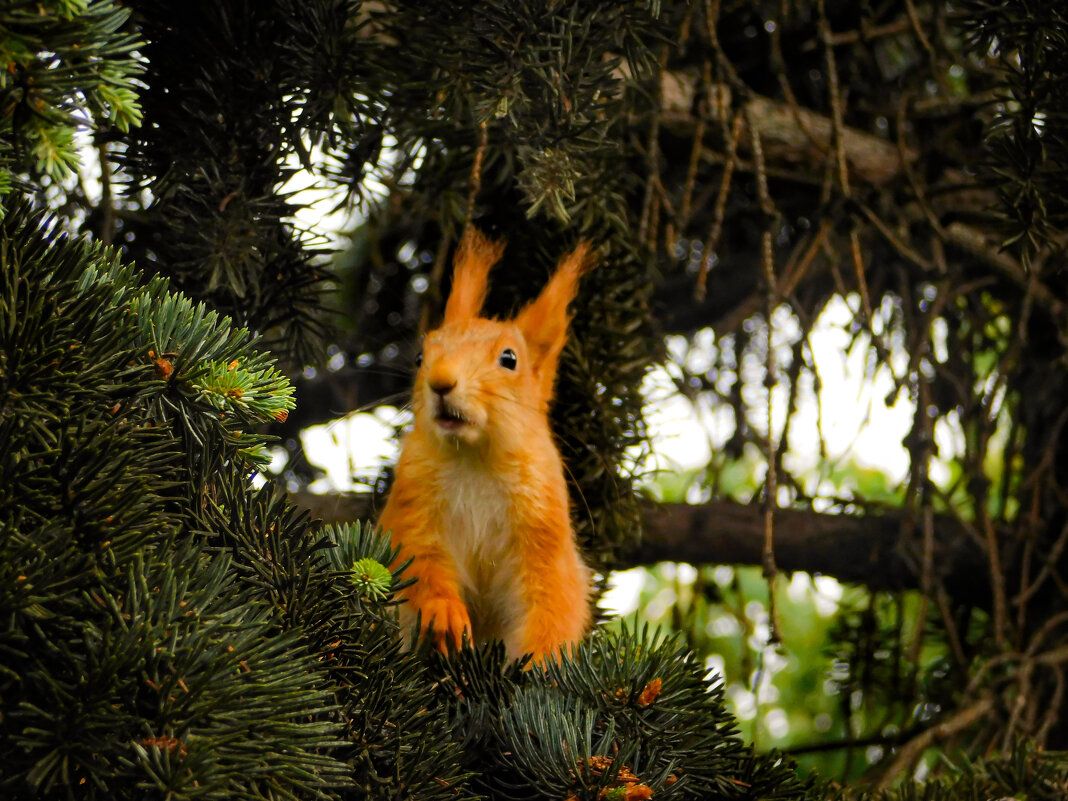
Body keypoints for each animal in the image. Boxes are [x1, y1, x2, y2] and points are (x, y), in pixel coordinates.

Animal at [375, 228, 598, 666]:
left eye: (509, 359)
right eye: (420, 356)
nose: (441, 382)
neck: (475, 457)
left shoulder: (544, 536)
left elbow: (552, 602)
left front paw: (540, 664)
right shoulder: (412, 508)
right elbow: (418, 561)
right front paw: (444, 613)